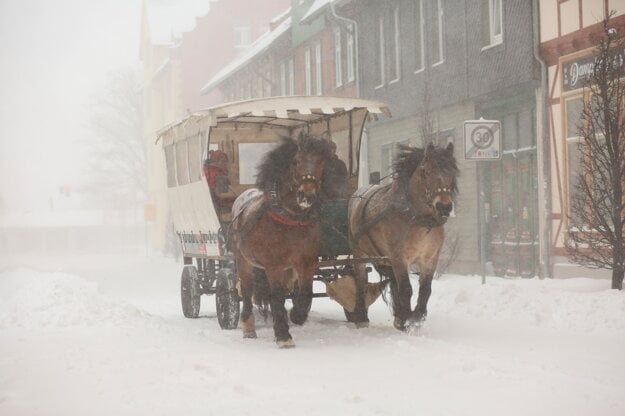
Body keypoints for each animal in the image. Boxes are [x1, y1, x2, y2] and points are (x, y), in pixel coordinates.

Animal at [230, 133, 332, 348]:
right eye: (296, 161)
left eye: (321, 162)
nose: (307, 195)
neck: (291, 219)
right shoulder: (273, 264)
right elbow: (275, 295)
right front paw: (283, 335)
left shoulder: (306, 262)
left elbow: (305, 292)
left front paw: (296, 315)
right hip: (243, 260)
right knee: (247, 289)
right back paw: (248, 326)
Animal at [346, 143, 458, 332]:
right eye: (425, 171)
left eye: (452, 172)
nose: (444, 206)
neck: (417, 219)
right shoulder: (399, 256)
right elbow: (406, 288)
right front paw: (407, 319)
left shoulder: (430, 258)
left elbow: (425, 288)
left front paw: (416, 316)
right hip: (359, 251)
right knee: (361, 280)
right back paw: (361, 316)